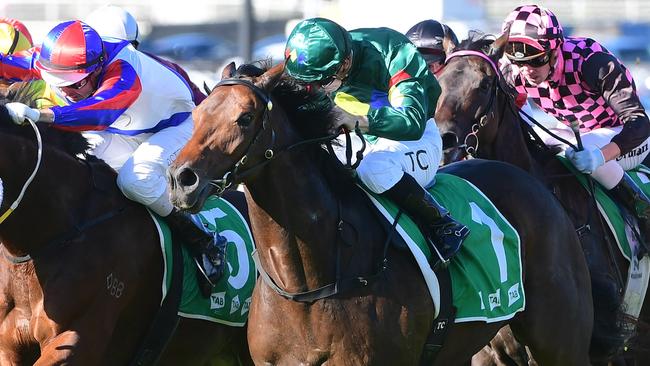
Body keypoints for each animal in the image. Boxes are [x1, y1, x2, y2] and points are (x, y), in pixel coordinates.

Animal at [166, 61, 592, 364]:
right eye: (197, 115)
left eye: (245, 117)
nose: (181, 179)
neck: (306, 284)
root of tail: (532, 181)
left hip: (560, 339)